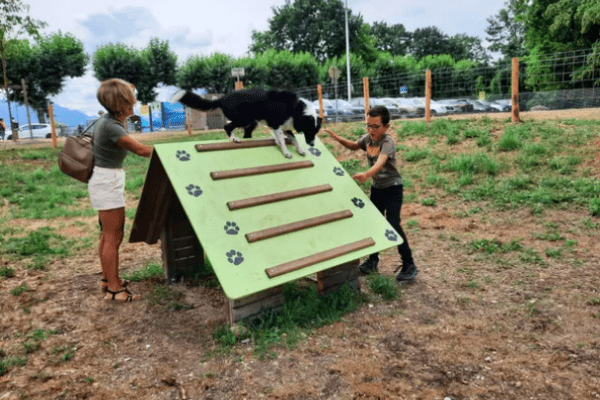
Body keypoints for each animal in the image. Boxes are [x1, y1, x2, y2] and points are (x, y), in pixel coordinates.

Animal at [171, 87, 322, 158]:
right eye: (309, 131)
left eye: (315, 132)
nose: (312, 145)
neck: (296, 109)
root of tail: (222, 98)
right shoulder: (276, 124)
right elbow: (283, 140)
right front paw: (286, 152)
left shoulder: (284, 126)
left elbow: (294, 139)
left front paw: (300, 150)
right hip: (244, 119)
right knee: (227, 126)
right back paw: (234, 139)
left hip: (249, 121)